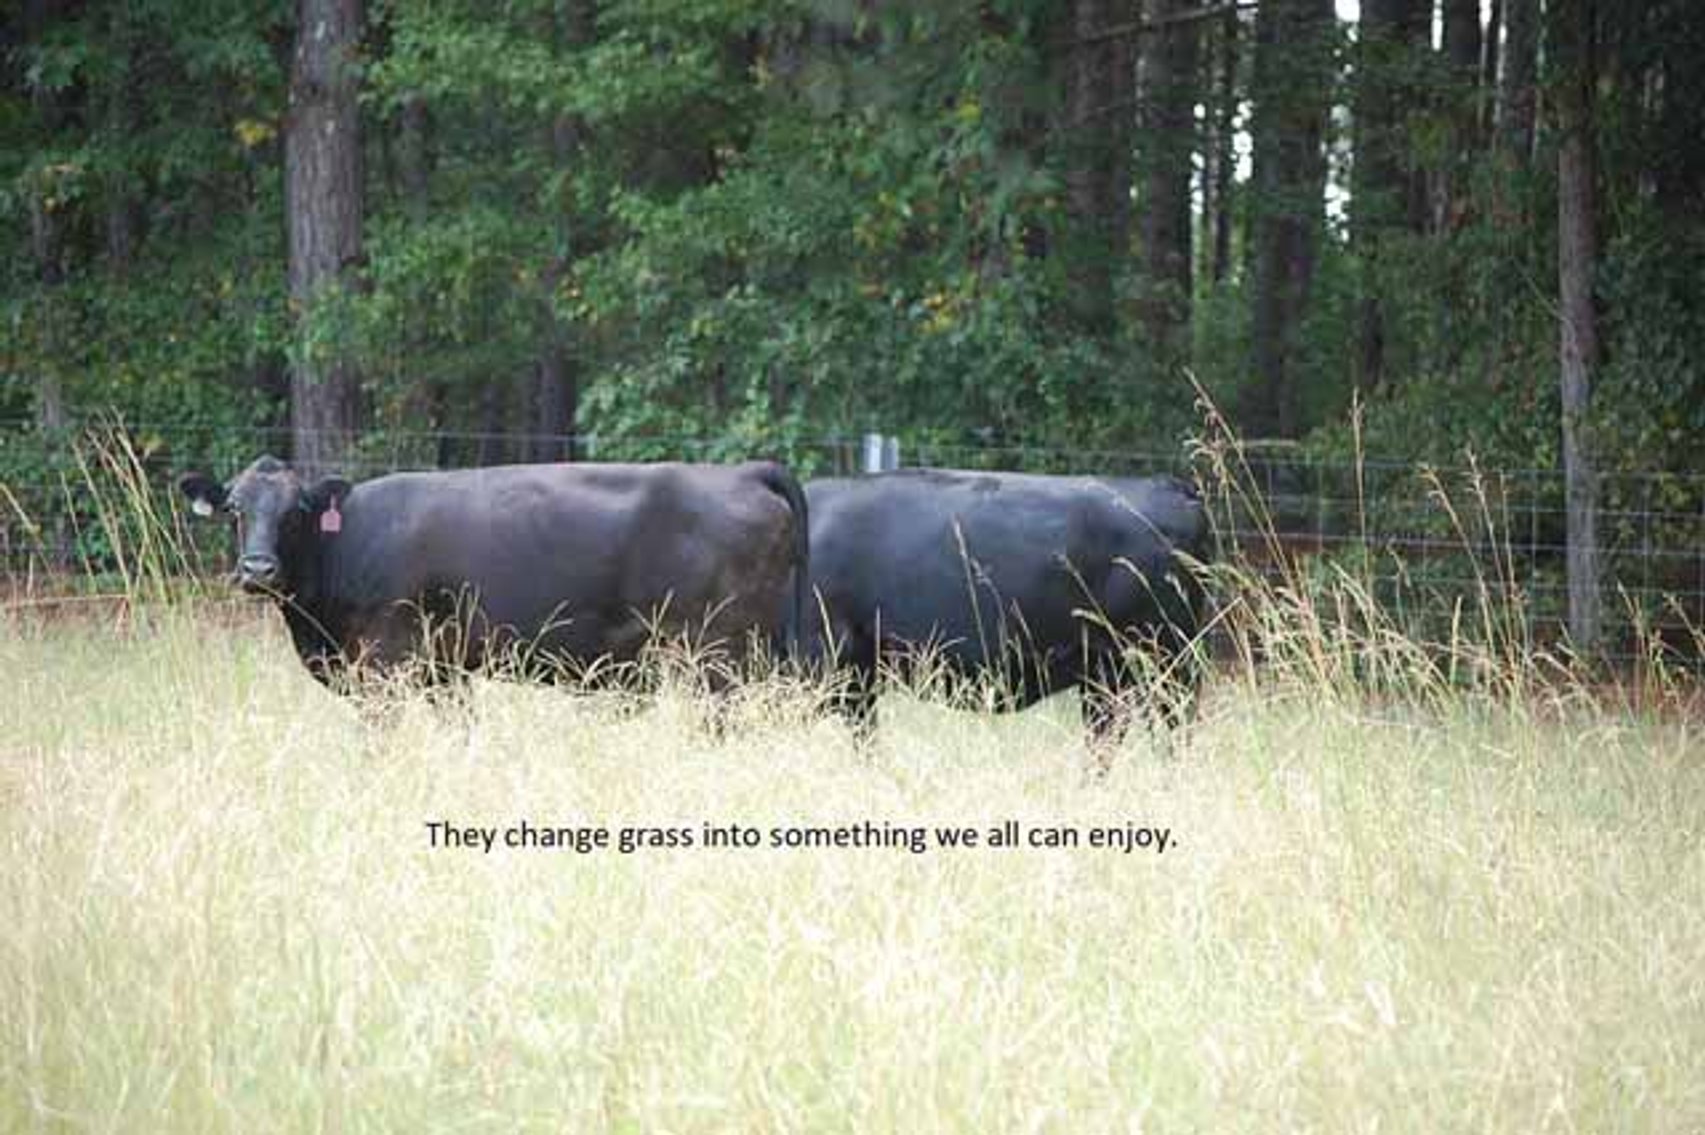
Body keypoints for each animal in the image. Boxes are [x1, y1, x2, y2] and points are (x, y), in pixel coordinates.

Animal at [178, 456, 809, 692]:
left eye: (297, 511)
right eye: (234, 508)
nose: (258, 569)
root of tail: (743, 471)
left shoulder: (385, 662)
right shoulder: (443, 670)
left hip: (718, 652)